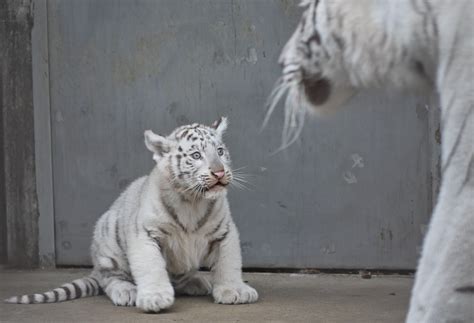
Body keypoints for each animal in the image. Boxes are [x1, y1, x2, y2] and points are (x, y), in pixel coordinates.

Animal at [3, 118, 258, 312]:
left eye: (220, 151)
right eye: (196, 155)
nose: (219, 172)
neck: (192, 200)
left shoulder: (225, 233)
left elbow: (229, 262)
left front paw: (234, 290)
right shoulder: (145, 234)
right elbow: (151, 266)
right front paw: (155, 297)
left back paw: (198, 280)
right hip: (107, 239)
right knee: (110, 279)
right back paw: (127, 291)